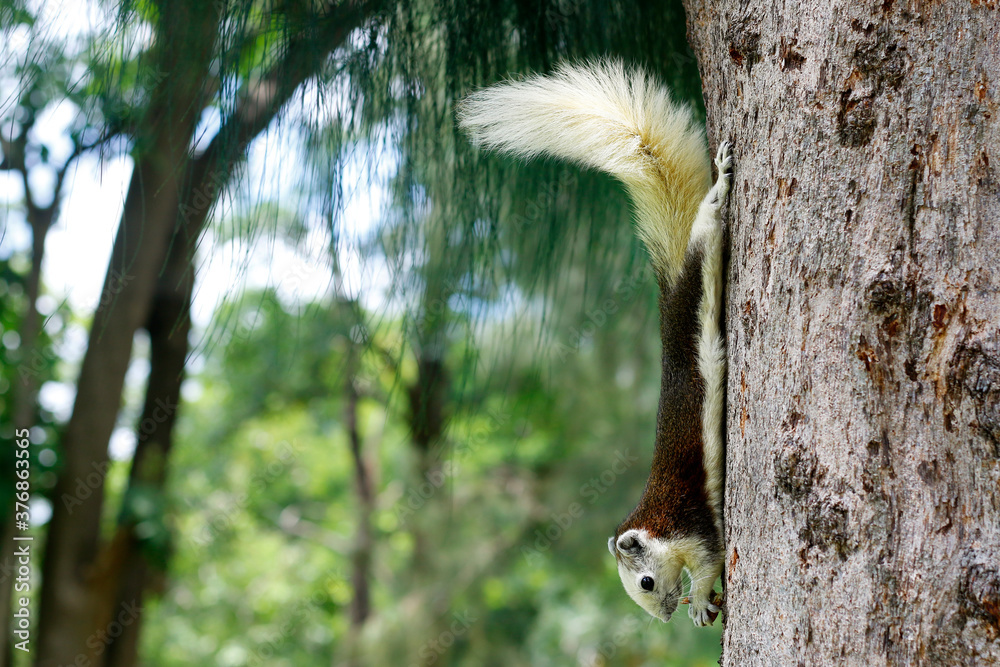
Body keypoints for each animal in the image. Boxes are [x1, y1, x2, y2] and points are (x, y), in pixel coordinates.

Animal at [458, 60, 732, 628]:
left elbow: (710, 561)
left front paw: (699, 603)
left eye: (645, 581)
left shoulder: (694, 531)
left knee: (709, 223)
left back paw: (723, 178)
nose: (663, 617)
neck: (656, 521)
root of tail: (672, 289)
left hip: (704, 253)